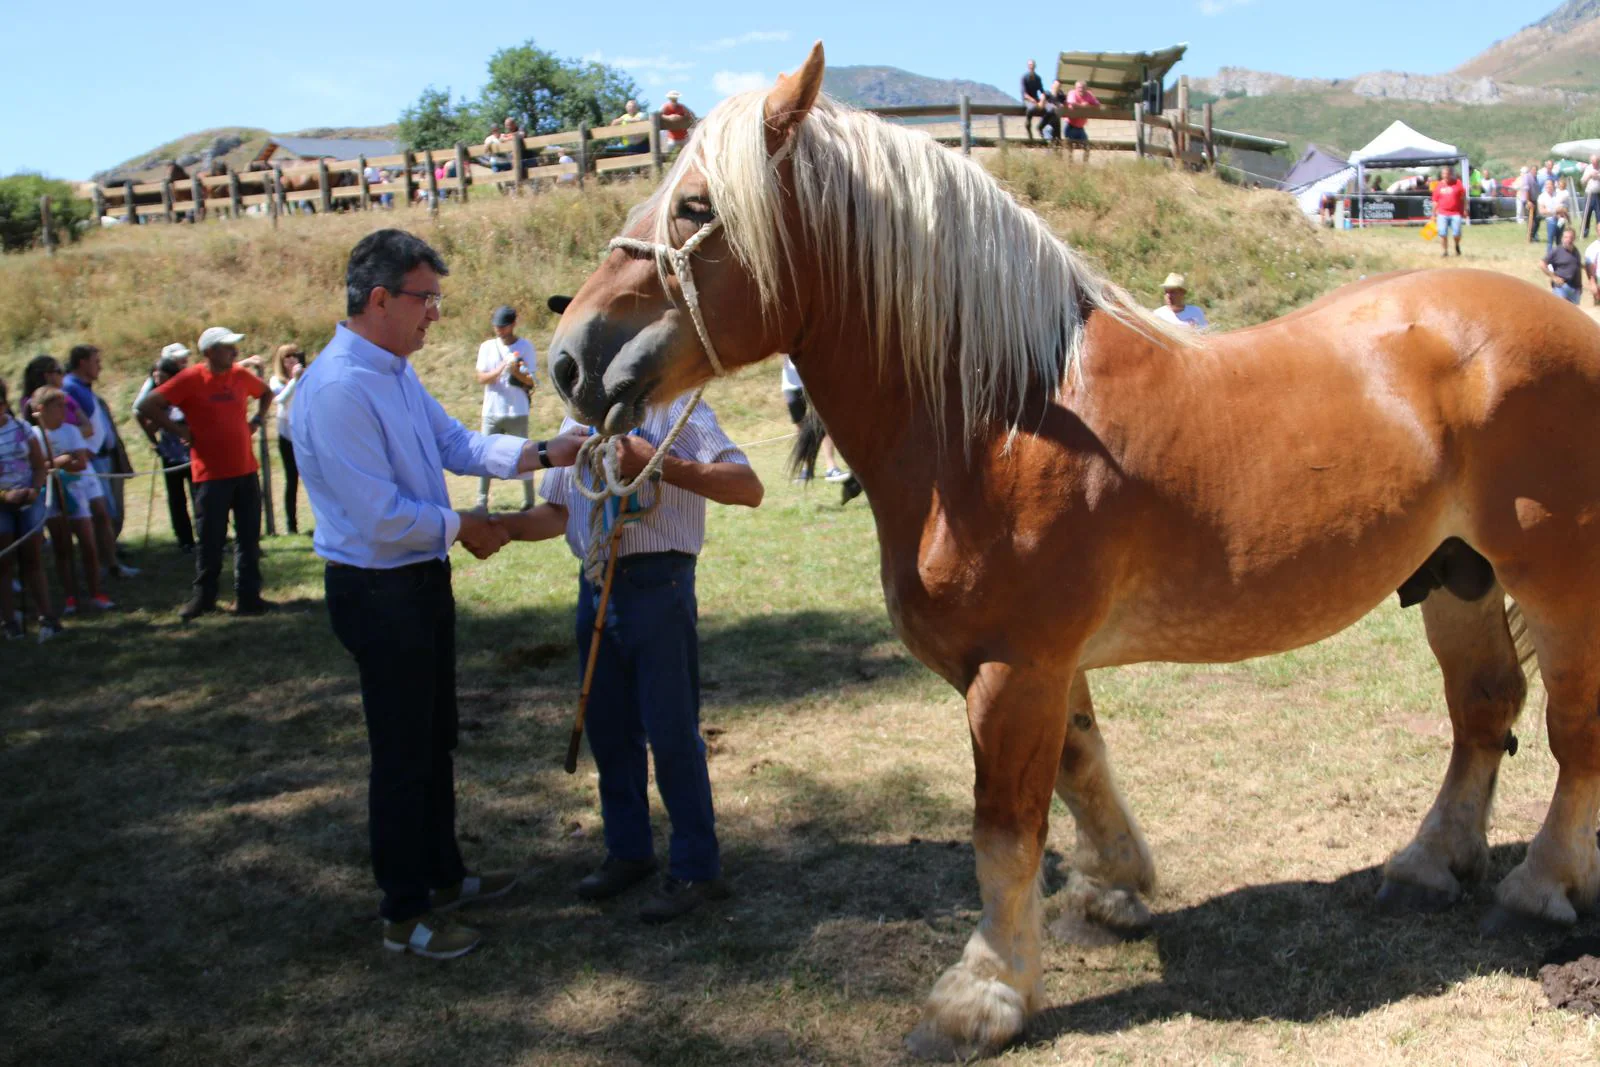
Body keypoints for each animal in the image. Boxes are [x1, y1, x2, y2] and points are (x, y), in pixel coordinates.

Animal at [544, 41, 1600, 1062]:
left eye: (694, 206)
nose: (568, 358)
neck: (998, 420)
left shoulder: (1016, 667)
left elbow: (1006, 826)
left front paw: (982, 994)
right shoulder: (1045, 667)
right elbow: (1081, 768)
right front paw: (1110, 892)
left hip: (1555, 581)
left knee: (1570, 730)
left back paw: (1539, 887)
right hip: (1456, 574)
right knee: (1483, 709)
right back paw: (1428, 865)